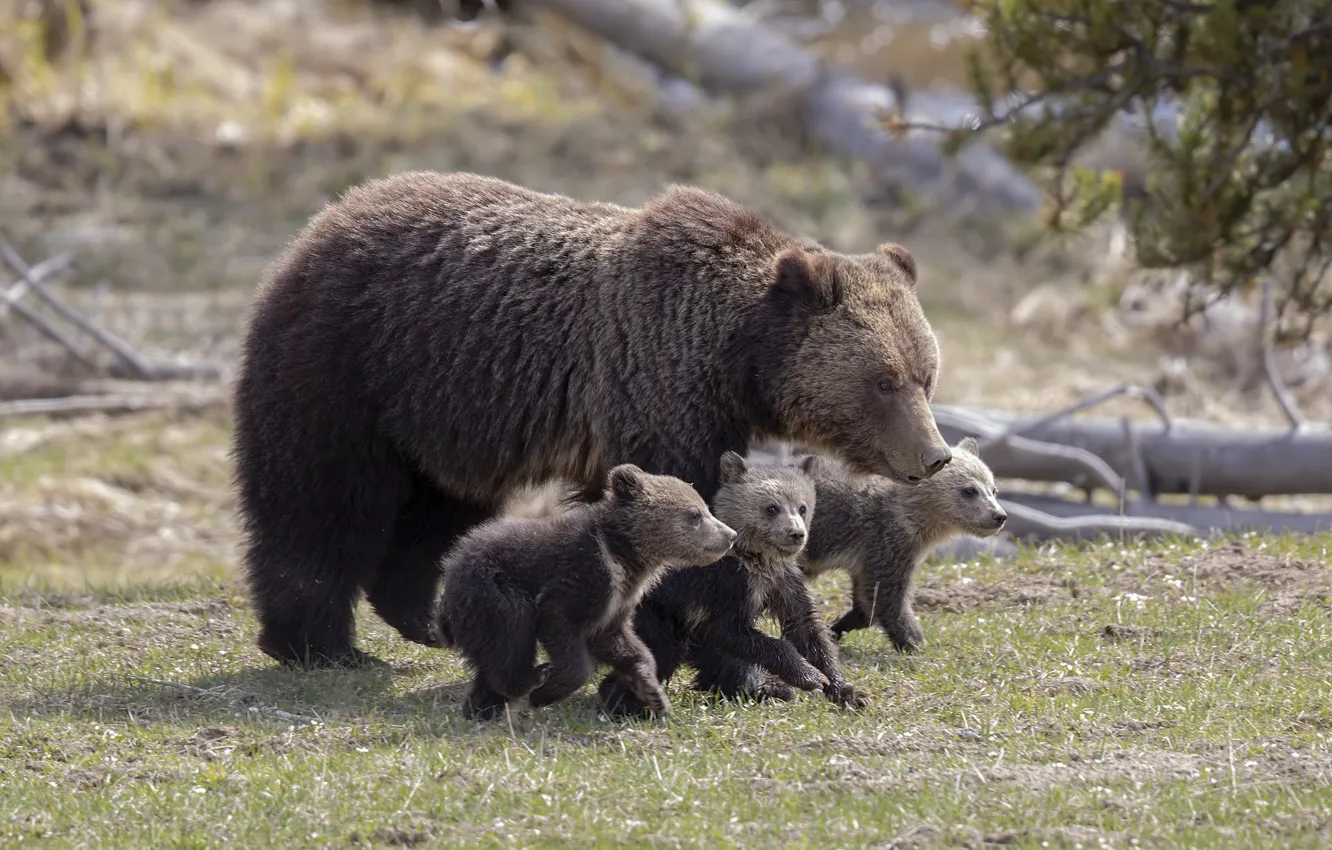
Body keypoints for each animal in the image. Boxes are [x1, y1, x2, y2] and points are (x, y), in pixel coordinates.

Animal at [231, 170, 953, 669]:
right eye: (883, 381)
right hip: (346, 365)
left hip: (450, 414)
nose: (934, 455)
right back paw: (317, 642)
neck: (730, 355)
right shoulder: (655, 387)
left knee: (440, 509)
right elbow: (678, 520)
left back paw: (422, 617)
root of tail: (325, 217)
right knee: (319, 500)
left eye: (925, 373)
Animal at [432, 463, 736, 720]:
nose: (730, 535)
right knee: (512, 632)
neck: (621, 554)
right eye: (695, 514)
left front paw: (652, 692)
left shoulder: (617, 601)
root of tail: (450, 570)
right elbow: (561, 623)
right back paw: (530, 680)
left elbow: (620, 642)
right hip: (492, 590)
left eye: (704, 507)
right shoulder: (583, 575)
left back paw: (482, 708)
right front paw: (547, 692)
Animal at [597, 451, 866, 719]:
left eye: (802, 507)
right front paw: (807, 675)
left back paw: (763, 687)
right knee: (662, 649)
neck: (757, 560)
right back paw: (626, 702)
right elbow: (729, 630)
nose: (796, 534)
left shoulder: (784, 581)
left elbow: (808, 629)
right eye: (771, 508)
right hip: (656, 612)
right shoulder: (723, 585)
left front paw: (847, 691)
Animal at [799, 436, 1008, 652]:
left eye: (993, 489)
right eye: (969, 490)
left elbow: (866, 605)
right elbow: (887, 600)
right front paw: (916, 643)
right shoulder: (885, 543)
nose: (999, 516)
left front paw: (835, 628)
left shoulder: (872, 557)